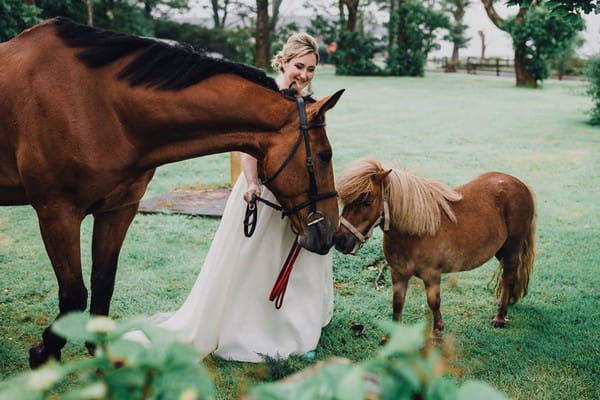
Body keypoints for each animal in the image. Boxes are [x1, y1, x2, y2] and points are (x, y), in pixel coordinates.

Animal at [0, 18, 342, 366]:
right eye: (324, 156)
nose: (331, 232)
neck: (98, 105)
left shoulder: (118, 210)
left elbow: (103, 282)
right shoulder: (57, 213)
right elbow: (73, 295)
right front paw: (43, 352)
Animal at [336, 159, 536, 338]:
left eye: (366, 201)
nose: (339, 240)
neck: (415, 231)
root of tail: (520, 184)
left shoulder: (431, 274)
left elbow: (433, 302)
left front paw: (437, 331)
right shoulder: (397, 273)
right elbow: (397, 303)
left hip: (512, 249)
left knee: (508, 278)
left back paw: (500, 317)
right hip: (500, 251)